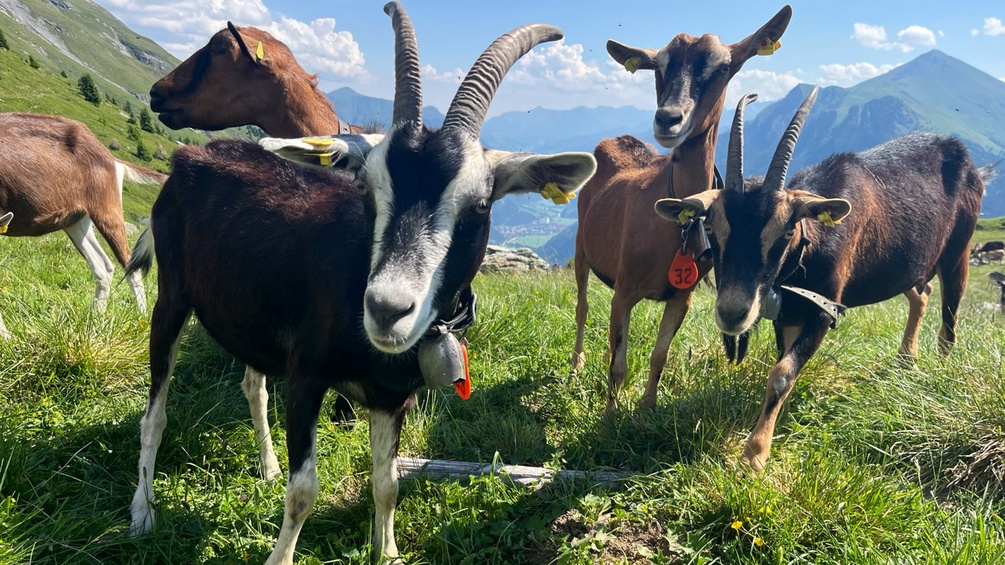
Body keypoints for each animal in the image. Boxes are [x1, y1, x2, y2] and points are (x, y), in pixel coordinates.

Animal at [0, 113, 161, 337]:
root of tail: (111, 158)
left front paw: (7, 338)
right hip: (75, 220)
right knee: (103, 267)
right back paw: (96, 318)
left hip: (107, 209)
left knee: (132, 267)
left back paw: (142, 319)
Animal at [572, 6, 792, 410]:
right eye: (658, 66)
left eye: (723, 67)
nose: (668, 118)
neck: (675, 225)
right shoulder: (623, 291)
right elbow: (618, 365)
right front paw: (610, 417)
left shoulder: (681, 299)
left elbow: (659, 356)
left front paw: (646, 408)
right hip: (582, 245)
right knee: (581, 307)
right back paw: (576, 366)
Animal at [654, 87, 985, 471]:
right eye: (711, 228)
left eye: (785, 232)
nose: (732, 313)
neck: (810, 246)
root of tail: (964, 155)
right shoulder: (787, 311)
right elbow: (783, 364)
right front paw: (774, 427)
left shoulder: (824, 310)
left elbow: (782, 374)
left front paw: (754, 454)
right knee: (922, 292)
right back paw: (906, 357)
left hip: (959, 249)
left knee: (949, 314)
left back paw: (938, 369)